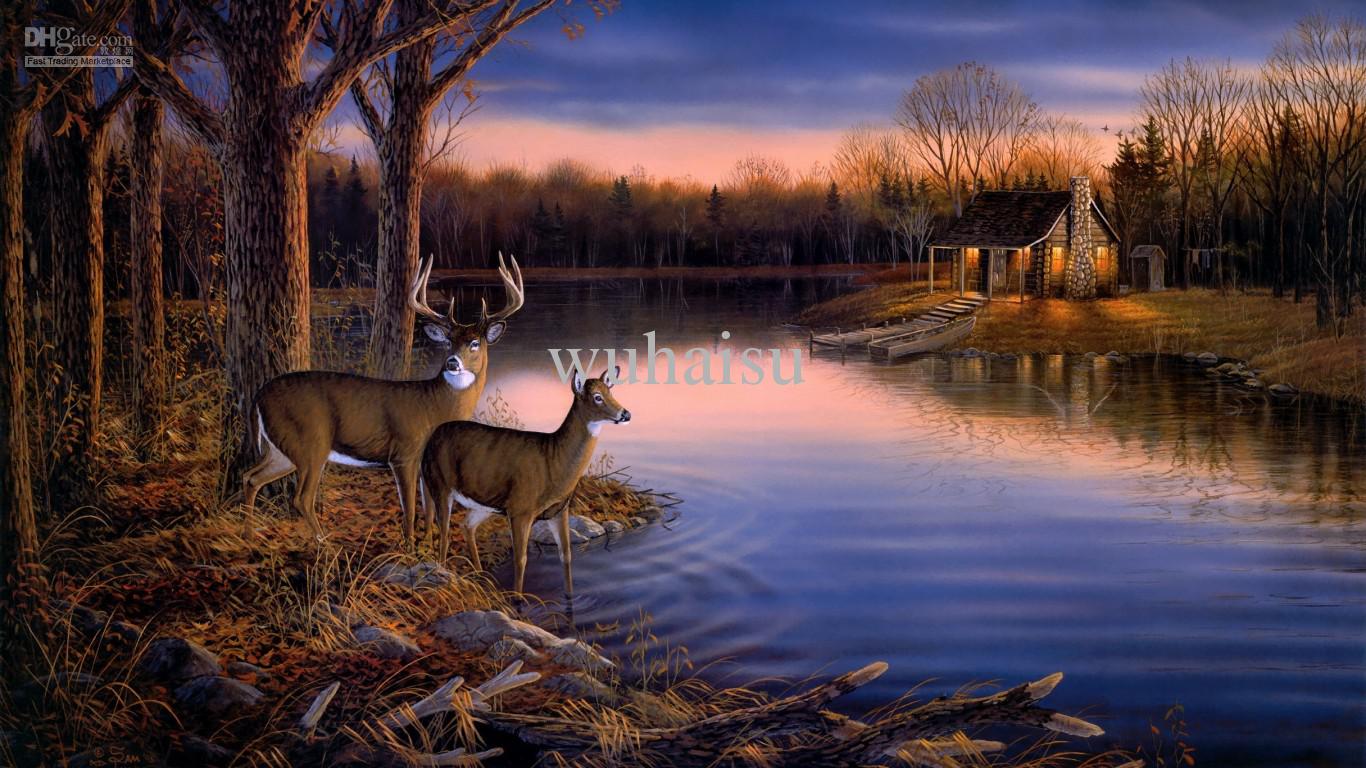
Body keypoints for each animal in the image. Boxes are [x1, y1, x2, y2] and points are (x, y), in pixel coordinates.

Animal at [241, 254, 525, 547]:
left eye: (474, 343)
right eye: (448, 342)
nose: (451, 363)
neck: (435, 407)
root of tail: (258, 396)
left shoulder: (425, 463)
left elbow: (428, 508)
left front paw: (427, 543)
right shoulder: (404, 452)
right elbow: (409, 508)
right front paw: (410, 547)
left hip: (282, 448)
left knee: (251, 477)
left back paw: (249, 534)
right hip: (311, 442)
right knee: (301, 497)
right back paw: (325, 544)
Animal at [420, 366, 630, 596]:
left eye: (611, 392)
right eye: (597, 397)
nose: (626, 414)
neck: (553, 461)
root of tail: (429, 441)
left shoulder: (559, 510)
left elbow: (566, 555)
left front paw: (570, 596)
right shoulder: (520, 509)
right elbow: (520, 559)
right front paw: (517, 599)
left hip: (483, 504)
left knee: (466, 526)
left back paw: (481, 576)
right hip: (439, 484)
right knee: (444, 532)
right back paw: (443, 574)